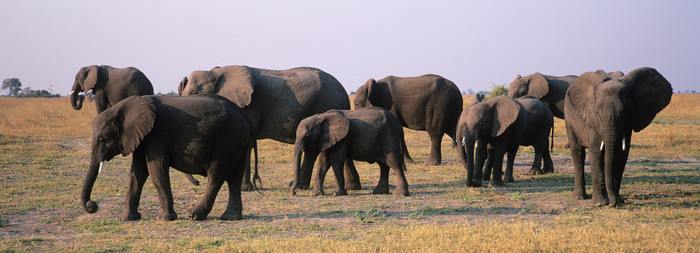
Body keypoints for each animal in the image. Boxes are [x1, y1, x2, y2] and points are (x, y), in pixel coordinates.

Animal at [70, 65, 200, 186]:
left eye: (77, 78)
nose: (81, 97)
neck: (94, 66)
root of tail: (148, 83)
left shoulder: (101, 86)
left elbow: (100, 105)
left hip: (135, 88)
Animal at [79, 94, 258, 220]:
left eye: (103, 140)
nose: (92, 205)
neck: (124, 107)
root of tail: (246, 118)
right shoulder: (142, 137)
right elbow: (137, 172)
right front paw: (127, 219)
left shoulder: (157, 134)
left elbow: (156, 169)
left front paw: (165, 219)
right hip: (238, 142)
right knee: (234, 179)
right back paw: (230, 217)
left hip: (227, 141)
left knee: (216, 176)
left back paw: (194, 214)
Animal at [180, 64, 356, 191]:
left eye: (195, 93)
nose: (198, 182)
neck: (215, 72)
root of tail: (344, 93)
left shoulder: (250, 105)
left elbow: (247, 142)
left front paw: (244, 189)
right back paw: (301, 186)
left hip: (326, 104)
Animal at [564, 67, 672, 208]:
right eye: (597, 112)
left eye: (626, 112)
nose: (612, 204)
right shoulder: (593, 120)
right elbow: (596, 151)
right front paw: (600, 204)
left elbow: (622, 153)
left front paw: (618, 201)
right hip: (568, 117)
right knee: (578, 152)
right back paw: (579, 197)